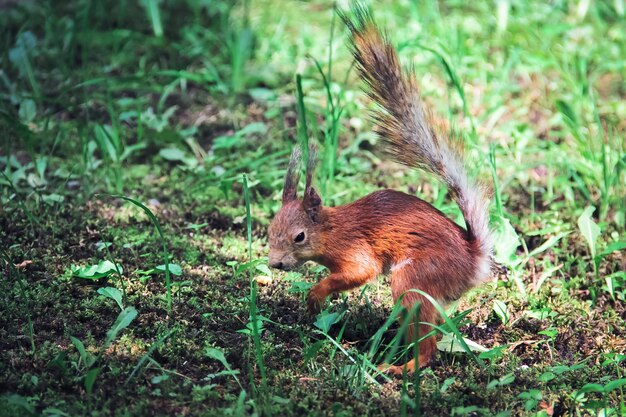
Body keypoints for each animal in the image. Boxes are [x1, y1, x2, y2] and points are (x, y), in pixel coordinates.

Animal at [266, 5, 494, 374]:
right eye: (270, 229)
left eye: (299, 236)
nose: (274, 264)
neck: (331, 229)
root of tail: (475, 260)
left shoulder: (354, 251)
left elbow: (360, 272)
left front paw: (316, 295)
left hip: (414, 279)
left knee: (427, 344)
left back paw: (402, 367)